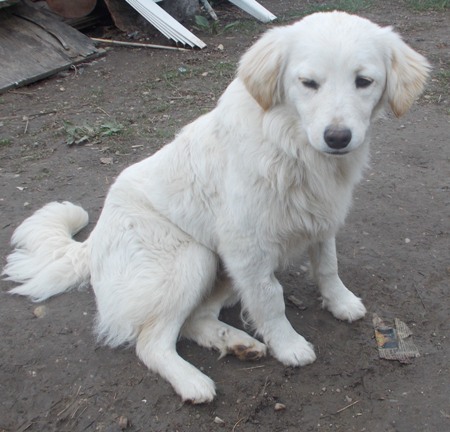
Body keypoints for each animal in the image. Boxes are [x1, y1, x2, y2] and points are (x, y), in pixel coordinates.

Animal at [3, 12, 429, 403]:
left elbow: (327, 267)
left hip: (219, 272)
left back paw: (237, 343)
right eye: (308, 83)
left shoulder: (320, 221)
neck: (292, 148)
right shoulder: (248, 251)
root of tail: (91, 244)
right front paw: (289, 346)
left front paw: (340, 303)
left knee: (193, 321)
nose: (337, 137)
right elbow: (270, 300)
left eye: (364, 81)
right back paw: (193, 382)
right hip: (193, 258)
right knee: (151, 342)